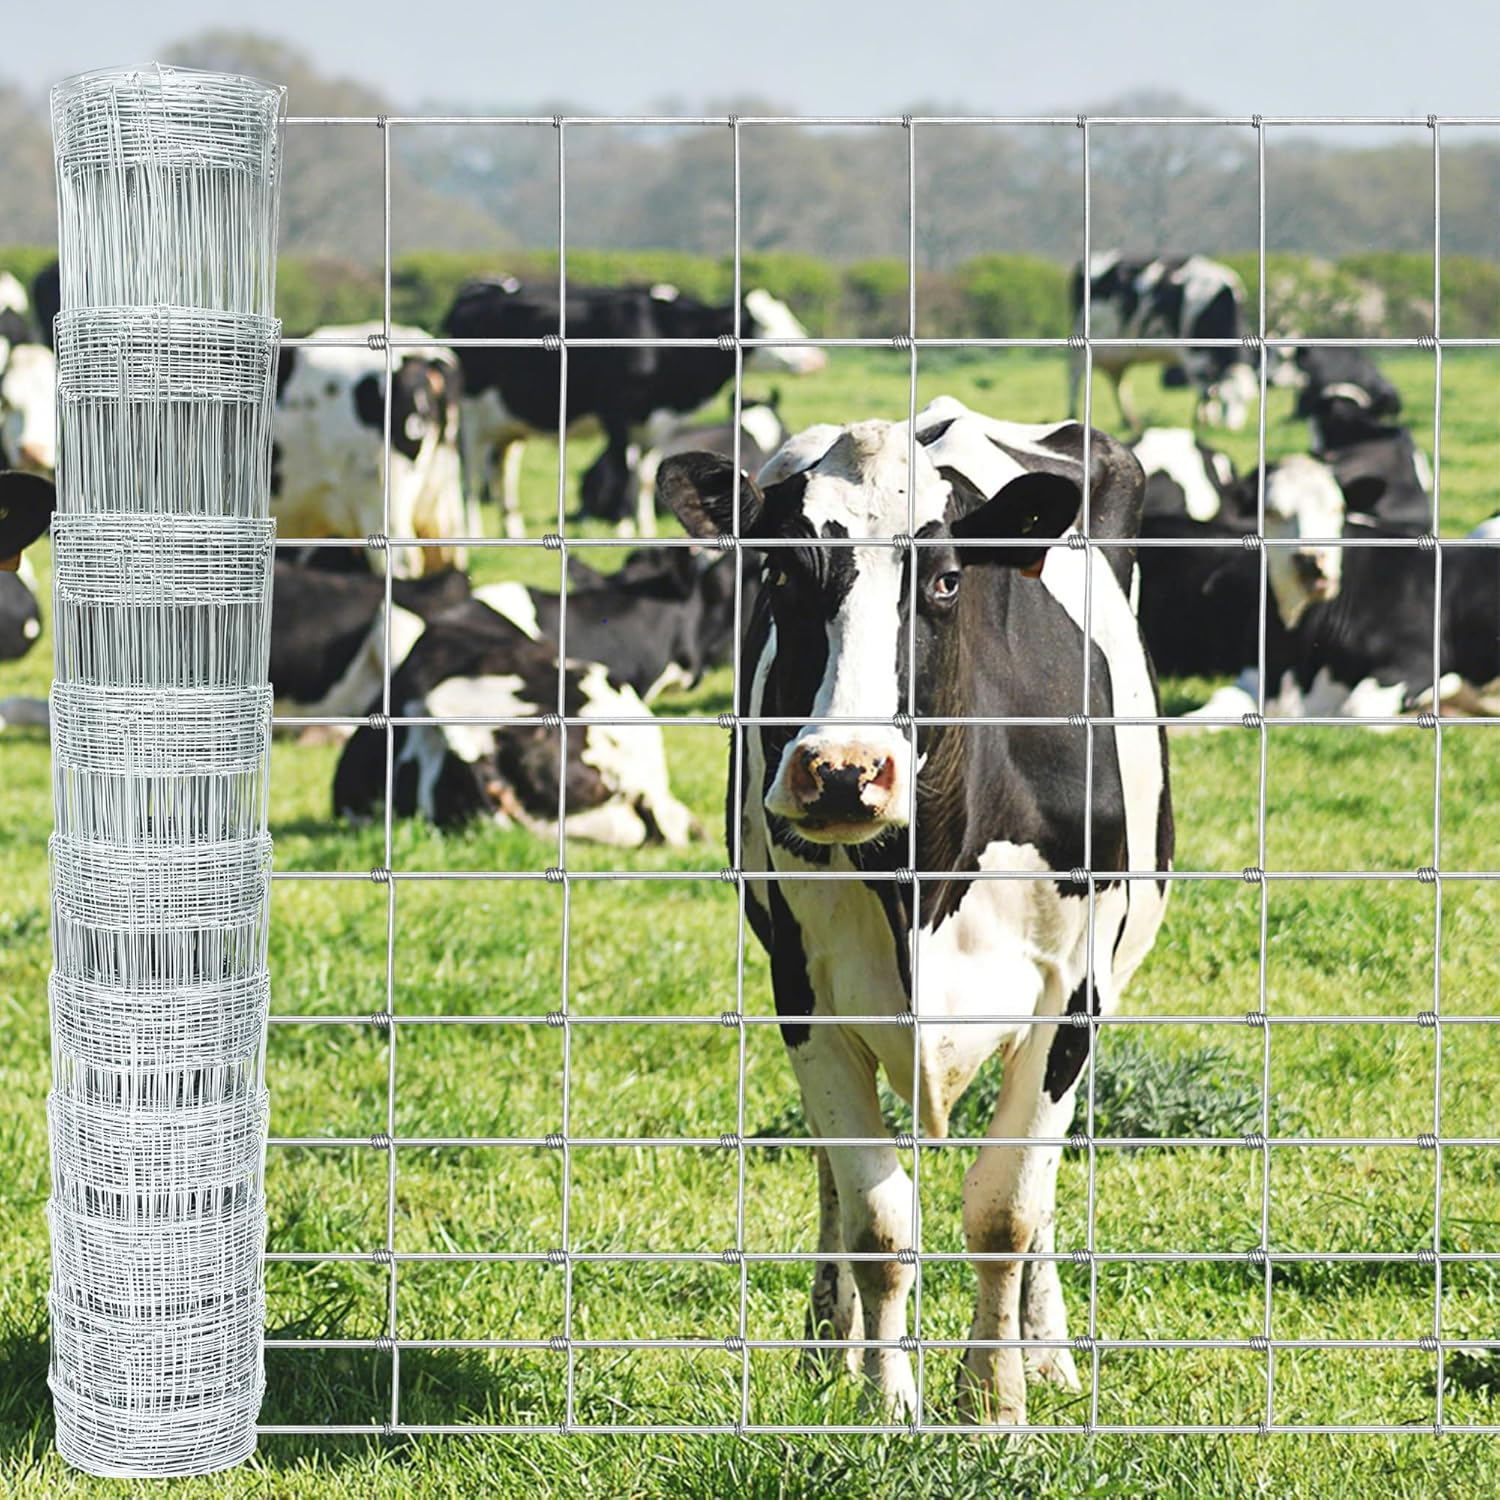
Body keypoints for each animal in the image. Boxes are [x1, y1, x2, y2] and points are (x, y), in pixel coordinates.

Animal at [443, 278, 823, 538]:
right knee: (470, 475)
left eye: (790, 316)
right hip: (470, 415)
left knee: (502, 472)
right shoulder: (618, 416)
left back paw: (513, 529)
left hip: (508, 424)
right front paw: (625, 528)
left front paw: (646, 529)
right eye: (765, 324)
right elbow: (623, 473)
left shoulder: (656, 425)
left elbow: (643, 477)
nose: (815, 359)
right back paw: (473, 531)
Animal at [656, 397, 1172, 1425]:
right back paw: (833, 1342)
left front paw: (996, 1401)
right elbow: (878, 1217)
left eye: (943, 580)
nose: (842, 770)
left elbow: (1007, 1208)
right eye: (779, 572)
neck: (923, 879)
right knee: (831, 1169)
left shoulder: (1072, 996)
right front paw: (889, 1401)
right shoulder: (805, 993)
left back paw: (1047, 1352)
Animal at [1070, 253, 1258, 434]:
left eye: (1246, 401)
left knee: (1118, 383)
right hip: (1080, 351)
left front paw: (1211, 421)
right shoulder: (1195, 355)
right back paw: (1073, 414)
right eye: (1225, 401)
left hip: (1117, 356)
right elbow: (1203, 391)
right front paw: (1202, 422)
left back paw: (1130, 422)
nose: (1232, 428)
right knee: (1074, 379)